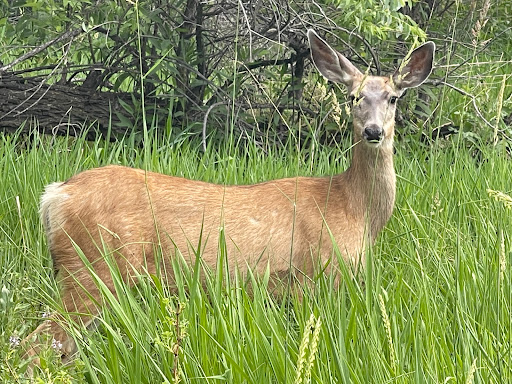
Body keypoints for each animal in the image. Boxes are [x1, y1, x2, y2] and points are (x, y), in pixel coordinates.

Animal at [22, 30, 434, 368]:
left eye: (393, 98)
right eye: (353, 97)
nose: (373, 131)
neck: (354, 210)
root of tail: (55, 195)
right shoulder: (317, 275)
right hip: (92, 266)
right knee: (37, 344)